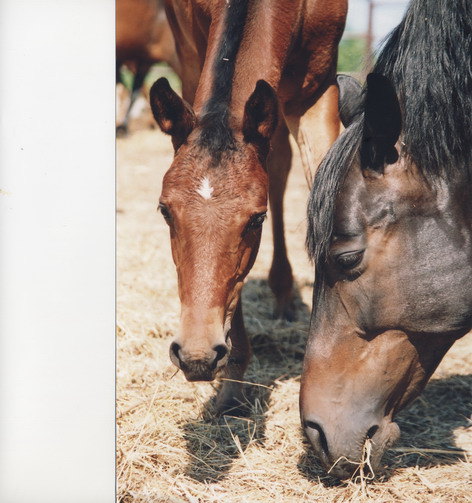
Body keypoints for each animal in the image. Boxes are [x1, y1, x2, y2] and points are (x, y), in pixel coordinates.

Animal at [151, 0, 346, 414]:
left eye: (257, 219)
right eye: (165, 211)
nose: (196, 356)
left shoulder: (317, 89)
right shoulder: (192, 62)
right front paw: (232, 382)